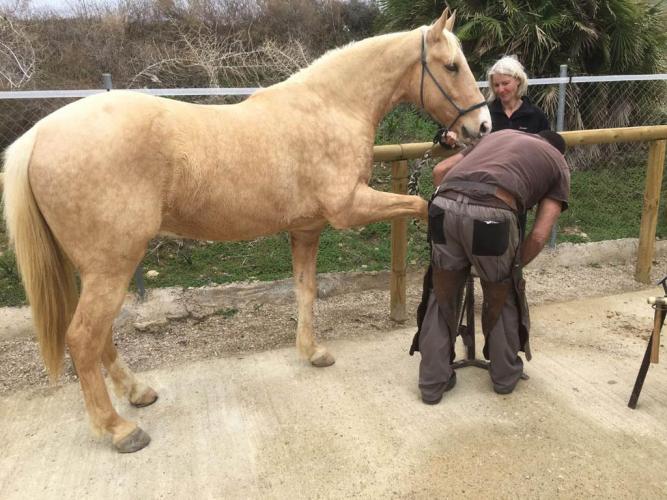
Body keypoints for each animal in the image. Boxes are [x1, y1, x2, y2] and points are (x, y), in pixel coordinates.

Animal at [2, 9, 490, 453]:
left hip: (95, 268)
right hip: (112, 265)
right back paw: (120, 430)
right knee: (83, 338)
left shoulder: (307, 229)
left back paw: (137, 394)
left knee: (97, 336)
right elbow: (419, 205)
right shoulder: (349, 208)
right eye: (451, 66)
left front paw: (312, 352)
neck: (330, 107)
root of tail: (38, 135)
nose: (481, 127)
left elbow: (305, 290)